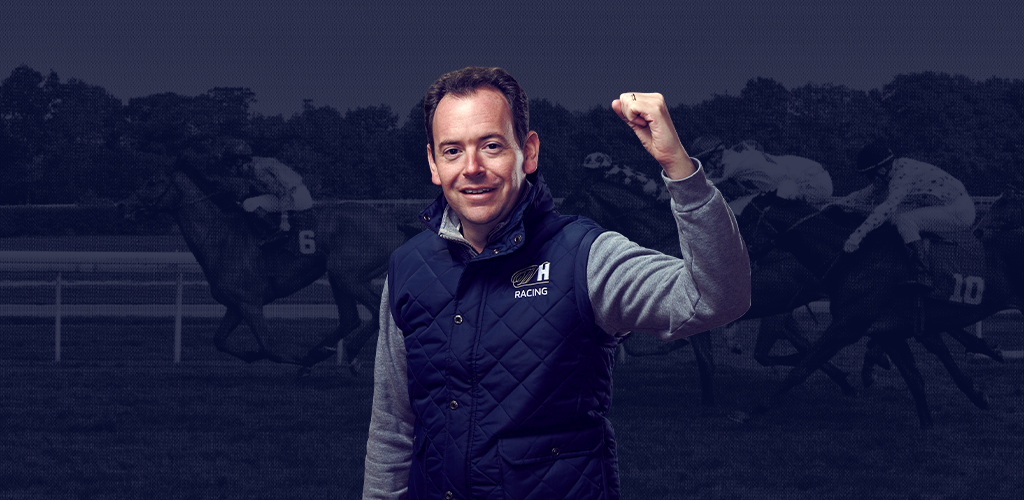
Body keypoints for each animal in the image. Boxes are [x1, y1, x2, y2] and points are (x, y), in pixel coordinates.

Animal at [119, 166, 410, 373]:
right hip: (338, 276)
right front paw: (257, 354)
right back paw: (330, 350)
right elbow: (219, 340)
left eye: (152, 181)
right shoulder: (236, 305)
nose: (125, 206)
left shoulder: (250, 303)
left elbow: (271, 348)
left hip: (348, 275)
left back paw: (348, 353)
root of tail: (391, 225)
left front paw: (302, 359)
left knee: (375, 310)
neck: (219, 239)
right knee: (350, 317)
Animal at [740, 192, 1019, 428]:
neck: (855, 259)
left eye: (743, 219)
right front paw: (928, 424)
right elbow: (915, 377)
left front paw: (753, 411)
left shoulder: (848, 325)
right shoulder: (889, 330)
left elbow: (803, 366)